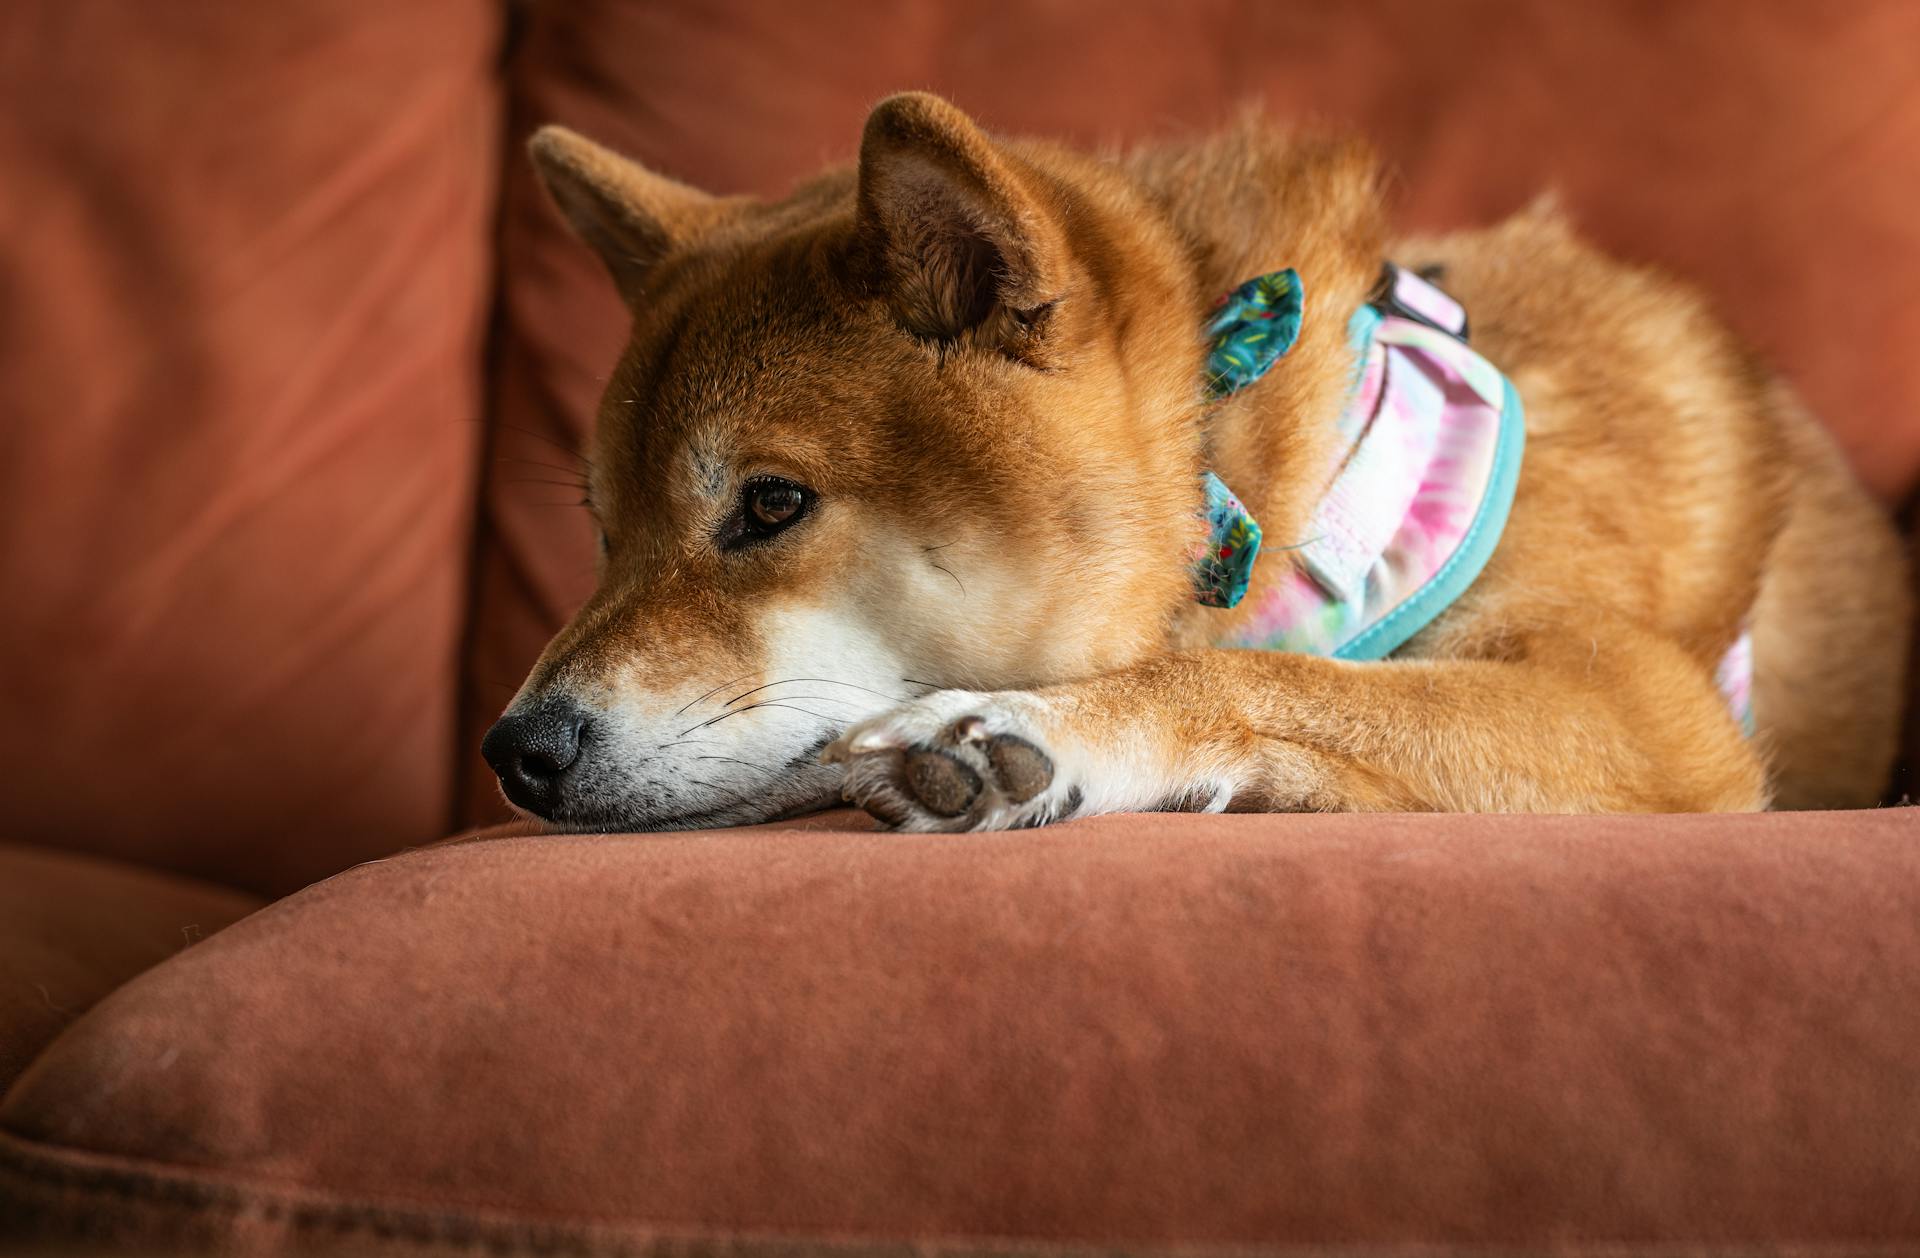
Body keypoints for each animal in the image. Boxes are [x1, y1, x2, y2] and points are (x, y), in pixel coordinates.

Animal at [483, 93, 1904, 833]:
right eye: (606, 529)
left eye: (771, 504)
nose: (514, 750)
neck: (1265, 479)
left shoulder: (1654, 715)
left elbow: (1293, 682)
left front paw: (1041, 730)